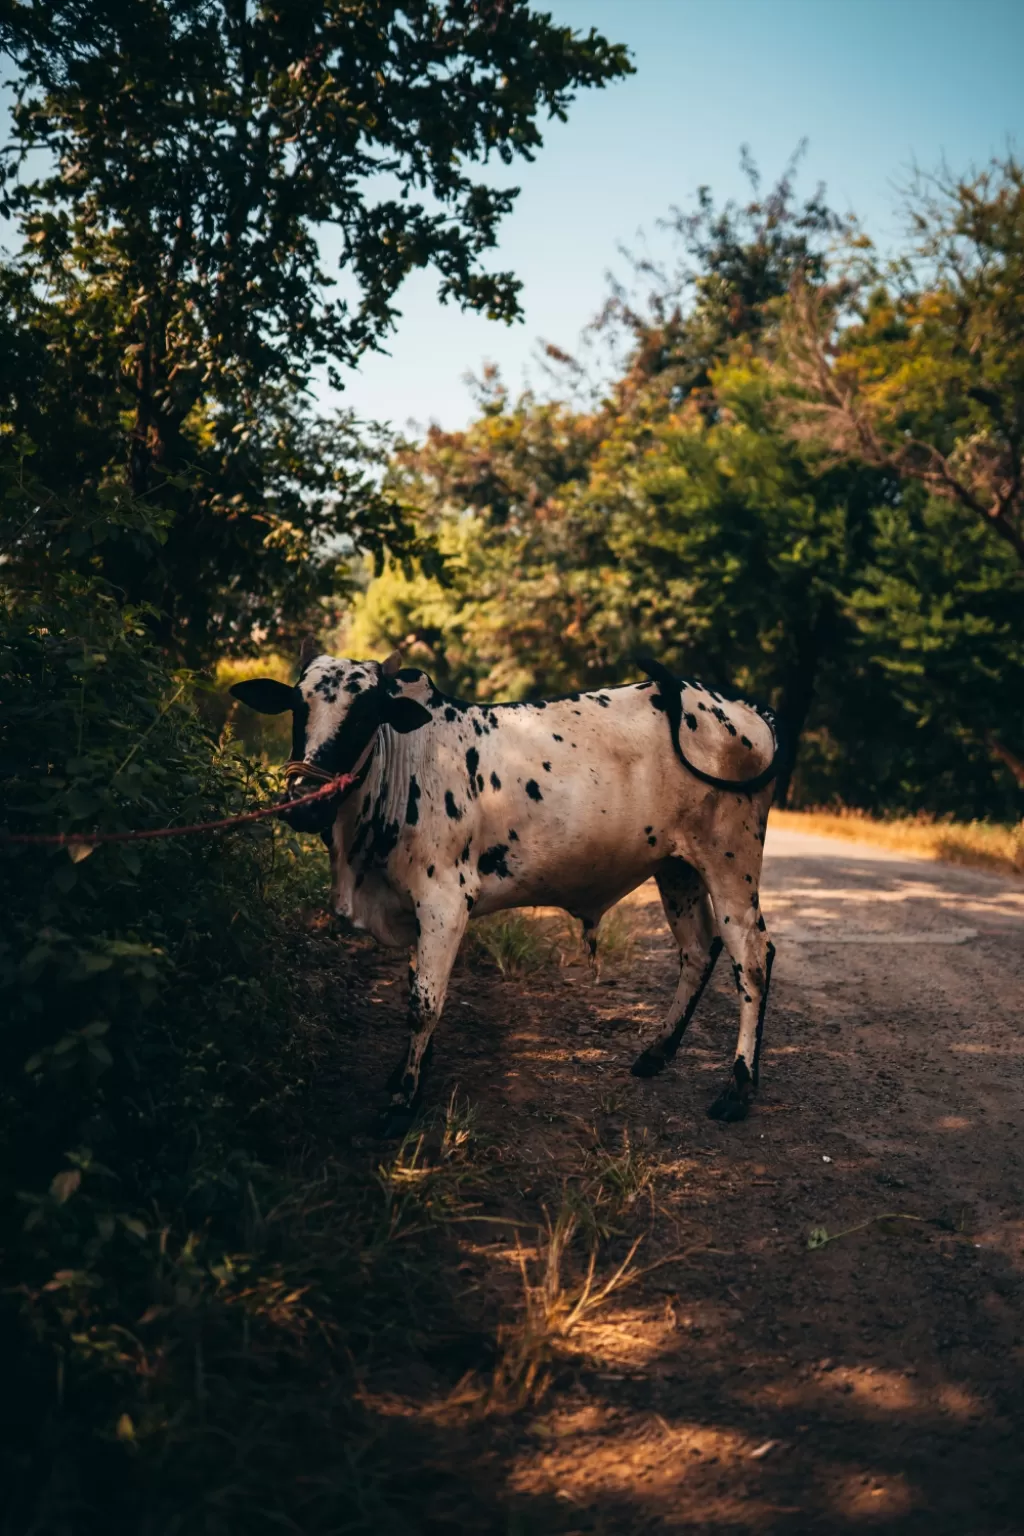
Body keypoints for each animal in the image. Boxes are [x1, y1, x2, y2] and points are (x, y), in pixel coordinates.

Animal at [230, 642, 776, 1136]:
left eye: (366, 714)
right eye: (297, 705)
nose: (305, 801)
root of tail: (746, 709)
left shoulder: (444, 903)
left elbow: (423, 1004)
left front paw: (404, 1101)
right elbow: (416, 986)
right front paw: (405, 1075)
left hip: (731, 863)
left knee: (751, 956)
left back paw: (738, 1088)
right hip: (677, 868)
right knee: (697, 950)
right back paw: (657, 1052)